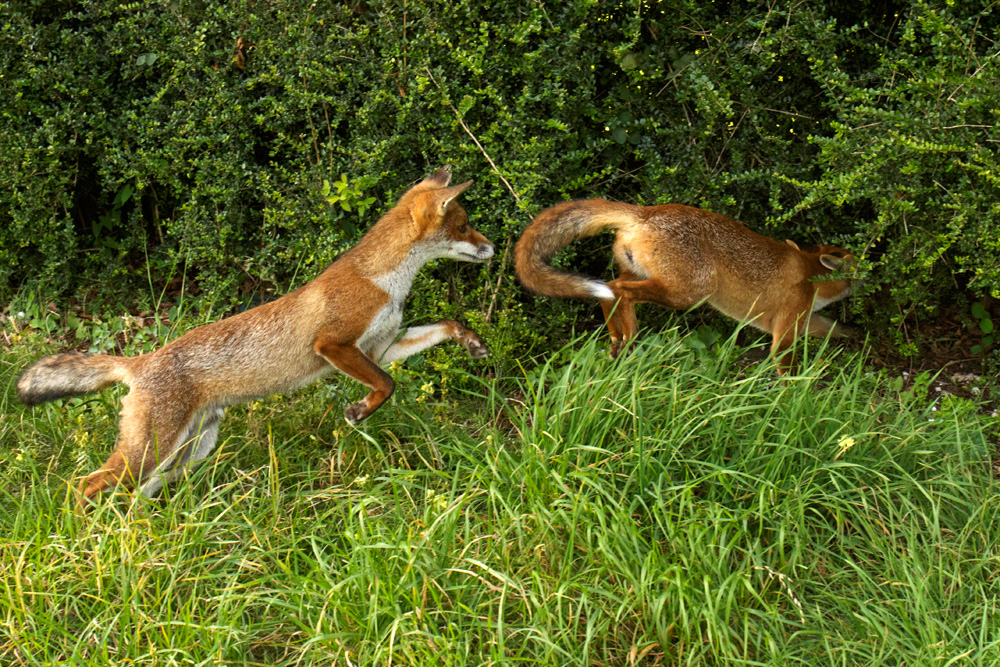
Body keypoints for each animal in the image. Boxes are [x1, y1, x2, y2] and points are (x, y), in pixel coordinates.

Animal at [17, 166, 494, 505]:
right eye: (465, 226)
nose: (492, 247)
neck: (385, 281)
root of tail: (141, 361)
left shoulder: (380, 345)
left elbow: (444, 327)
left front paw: (471, 341)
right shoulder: (334, 344)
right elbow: (387, 384)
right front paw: (359, 412)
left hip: (189, 450)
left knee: (140, 494)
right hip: (150, 451)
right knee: (86, 484)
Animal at [514, 199, 857, 369]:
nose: (868, 265)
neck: (809, 272)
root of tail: (646, 212)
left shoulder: (805, 320)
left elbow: (838, 329)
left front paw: (857, 340)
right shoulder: (787, 324)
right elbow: (787, 367)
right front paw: (793, 398)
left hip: (640, 274)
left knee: (608, 291)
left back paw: (617, 341)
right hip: (690, 293)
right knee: (620, 292)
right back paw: (628, 338)